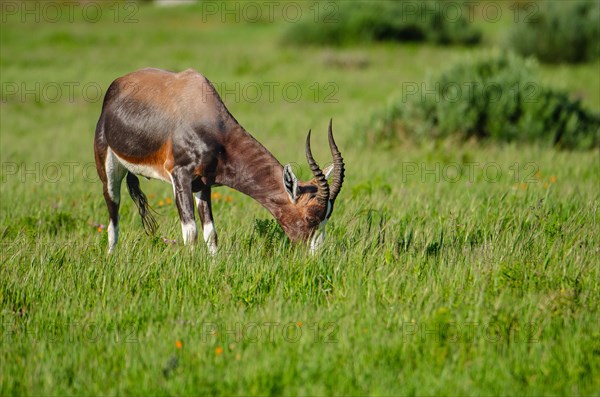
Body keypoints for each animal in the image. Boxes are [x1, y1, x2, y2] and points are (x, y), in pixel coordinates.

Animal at [94, 68, 346, 254]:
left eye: (327, 216)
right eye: (311, 216)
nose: (314, 255)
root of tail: (117, 85)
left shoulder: (202, 184)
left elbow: (210, 233)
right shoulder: (180, 177)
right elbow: (191, 232)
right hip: (108, 171)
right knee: (113, 216)